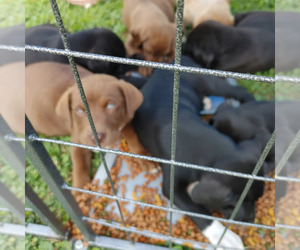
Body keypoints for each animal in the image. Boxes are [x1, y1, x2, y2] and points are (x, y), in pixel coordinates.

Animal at [24, 62, 155, 188]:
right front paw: (80, 189)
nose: (96, 138)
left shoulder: (125, 118)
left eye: (111, 105)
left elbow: (133, 137)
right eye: (79, 110)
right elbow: (79, 164)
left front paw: (146, 160)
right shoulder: (78, 139)